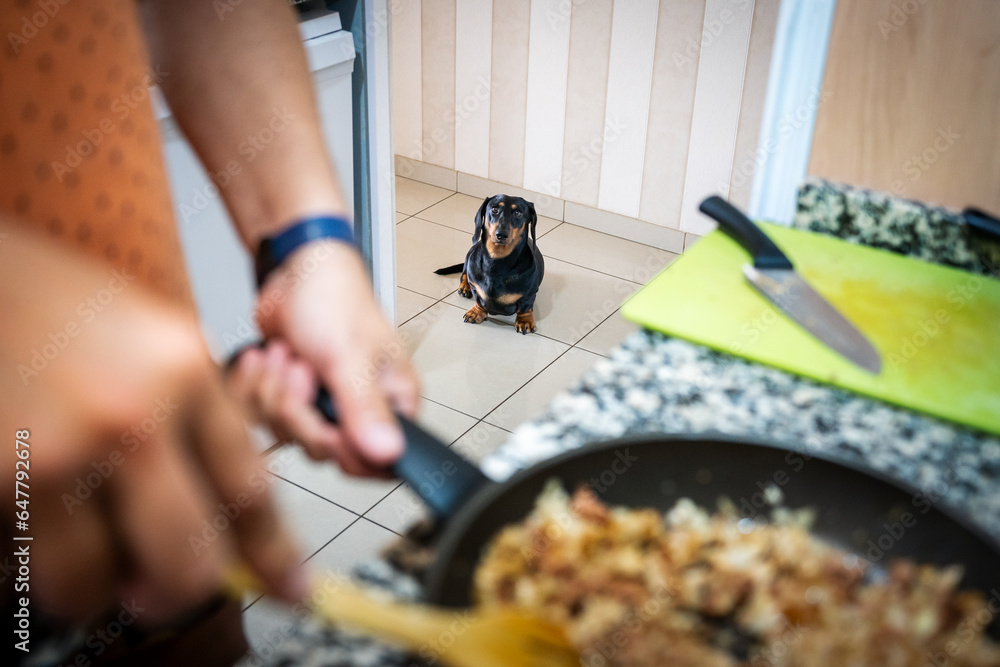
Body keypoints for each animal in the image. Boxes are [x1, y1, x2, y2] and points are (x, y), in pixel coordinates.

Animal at [434, 196, 544, 336]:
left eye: (518, 213)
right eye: (494, 209)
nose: (501, 234)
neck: (497, 261)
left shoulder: (529, 294)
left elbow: (525, 308)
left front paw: (525, 321)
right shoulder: (476, 287)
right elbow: (479, 300)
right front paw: (476, 312)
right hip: (469, 255)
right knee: (464, 275)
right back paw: (464, 287)